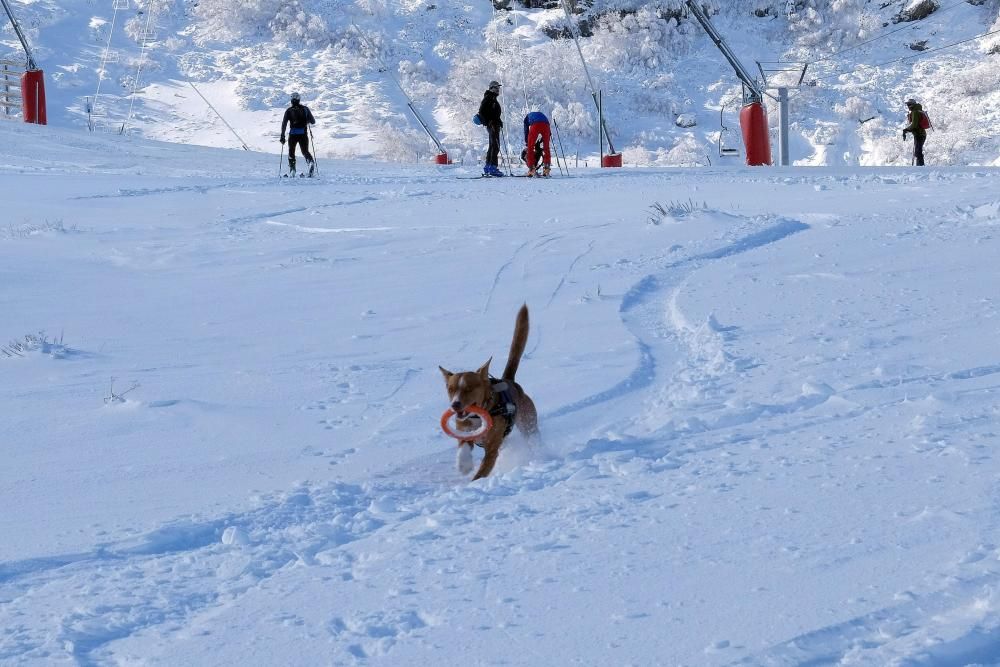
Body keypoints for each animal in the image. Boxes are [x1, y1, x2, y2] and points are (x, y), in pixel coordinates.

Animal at [438, 302, 540, 480]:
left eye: (469, 388)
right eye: (450, 389)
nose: (455, 405)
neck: (477, 415)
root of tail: (511, 382)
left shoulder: (492, 449)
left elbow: (482, 471)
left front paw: (474, 483)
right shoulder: (464, 433)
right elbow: (463, 448)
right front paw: (464, 465)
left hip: (529, 424)